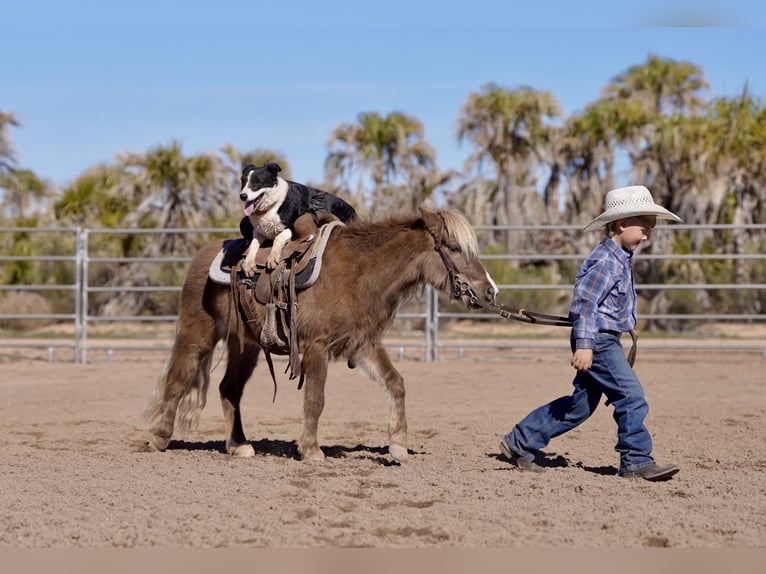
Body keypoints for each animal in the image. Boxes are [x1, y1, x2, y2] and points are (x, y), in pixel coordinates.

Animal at [145, 205, 498, 462]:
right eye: (454, 248)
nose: (490, 291)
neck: (358, 272)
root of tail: (203, 255)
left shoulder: (362, 343)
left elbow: (396, 383)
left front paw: (397, 445)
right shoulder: (316, 345)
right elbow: (316, 399)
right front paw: (312, 450)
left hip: (245, 345)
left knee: (229, 388)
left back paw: (238, 445)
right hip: (198, 333)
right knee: (178, 378)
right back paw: (159, 437)